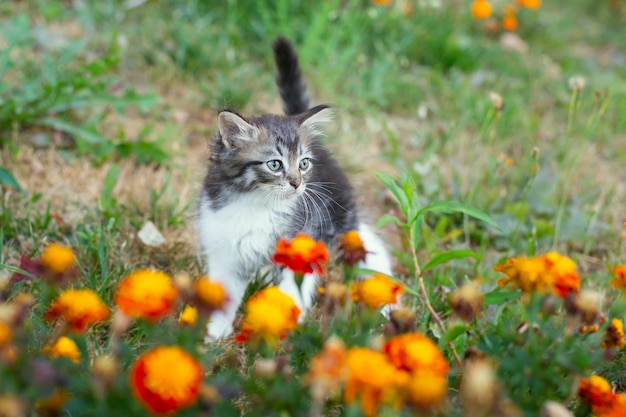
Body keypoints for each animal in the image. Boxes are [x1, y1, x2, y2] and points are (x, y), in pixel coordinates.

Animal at [197, 36, 390, 338]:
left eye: (303, 163)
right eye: (275, 164)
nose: (298, 184)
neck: (255, 205)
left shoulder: (306, 238)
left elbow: (292, 290)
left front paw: (282, 323)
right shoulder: (224, 246)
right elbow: (225, 293)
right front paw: (215, 333)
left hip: (342, 217)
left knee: (370, 246)